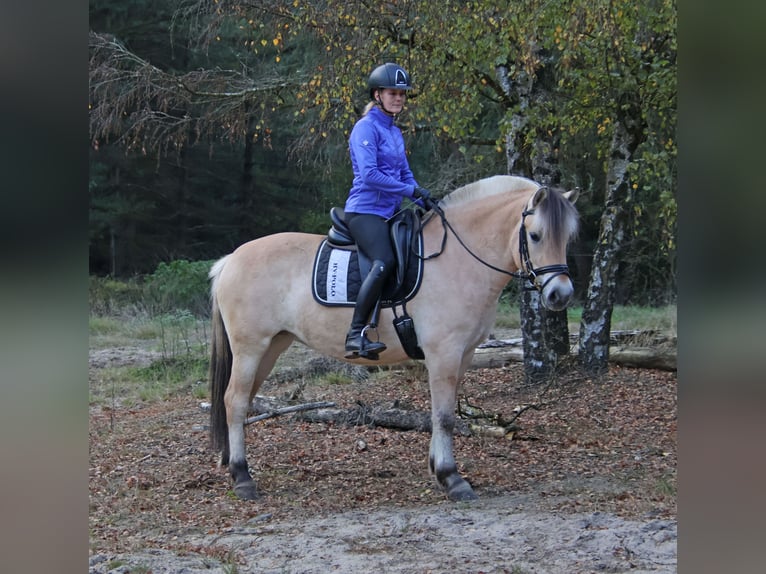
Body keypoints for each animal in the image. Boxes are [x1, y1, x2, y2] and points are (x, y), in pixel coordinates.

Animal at [208, 175, 579, 501]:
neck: (460, 259)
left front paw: (437, 469)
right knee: (235, 400)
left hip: (272, 345)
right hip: (250, 347)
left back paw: (231, 464)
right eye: (535, 235)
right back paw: (242, 477)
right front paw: (451, 478)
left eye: (567, 238)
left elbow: (442, 413)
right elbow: (444, 416)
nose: (560, 295)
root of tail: (231, 259)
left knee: (241, 400)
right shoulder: (443, 353)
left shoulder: (465, 354)